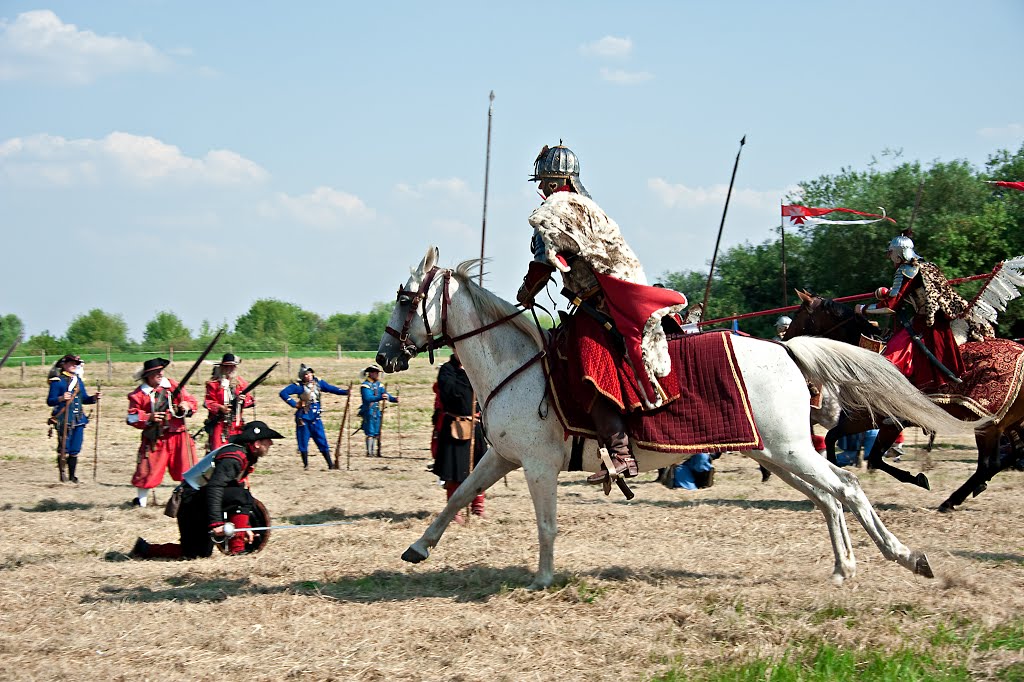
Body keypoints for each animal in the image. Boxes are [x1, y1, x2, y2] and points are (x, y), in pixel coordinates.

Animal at [380, 246, 970, 585]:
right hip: (777, 454)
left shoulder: (539, 465)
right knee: (828, 497)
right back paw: (844, 568)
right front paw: (417, 548)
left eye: (406, 298)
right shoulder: (501, 457)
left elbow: (546, 522)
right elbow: (457, 495)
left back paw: (906, 556)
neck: (515, 367)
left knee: (845, 487)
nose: (385, 357)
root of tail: (786, 350)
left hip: (790, 450)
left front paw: (543, 578)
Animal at [782, 292, 1015, 509]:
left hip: (989, 425)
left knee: (988, 463)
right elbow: (844, 444)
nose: (785, 340)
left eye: (799, 314)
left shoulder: (879, 422)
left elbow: (869, 456)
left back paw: (953, 499)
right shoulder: (866, 421)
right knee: (1000, 460)